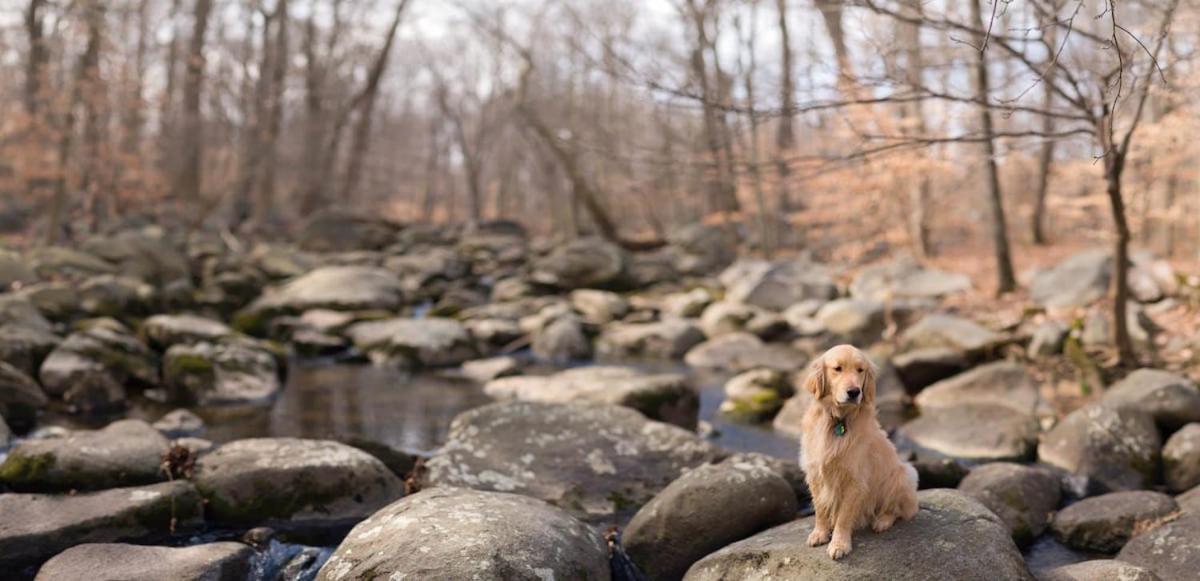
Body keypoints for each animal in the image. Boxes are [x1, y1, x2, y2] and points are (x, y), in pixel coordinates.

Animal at [801, 345, 912, 559]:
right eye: (837, 368)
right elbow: (820, 508)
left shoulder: (855, 479)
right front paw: (819, 533)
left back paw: (882, 521)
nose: (854, 392)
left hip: (902, 475)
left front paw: (839, 544)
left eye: (860, 370)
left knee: (897, 510)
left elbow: (844, 517)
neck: (838, 420)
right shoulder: (815, 472)